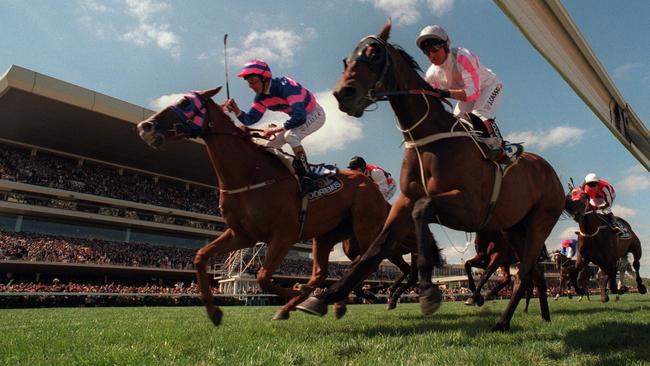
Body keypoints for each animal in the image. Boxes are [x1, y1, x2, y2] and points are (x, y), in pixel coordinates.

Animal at [296, 22, 564, 332]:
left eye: (373, 53)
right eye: (345, 60)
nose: (343, 94)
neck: (428, 139)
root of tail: (550, 172)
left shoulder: (470, 209)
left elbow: (423, 211)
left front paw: (427, 292)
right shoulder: (404, 203)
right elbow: (373, 251)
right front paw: (325, 297)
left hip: (540, 221)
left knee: (524, 274)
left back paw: (501, 319)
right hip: (513, 227)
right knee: (535, 274)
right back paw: (542, 316)